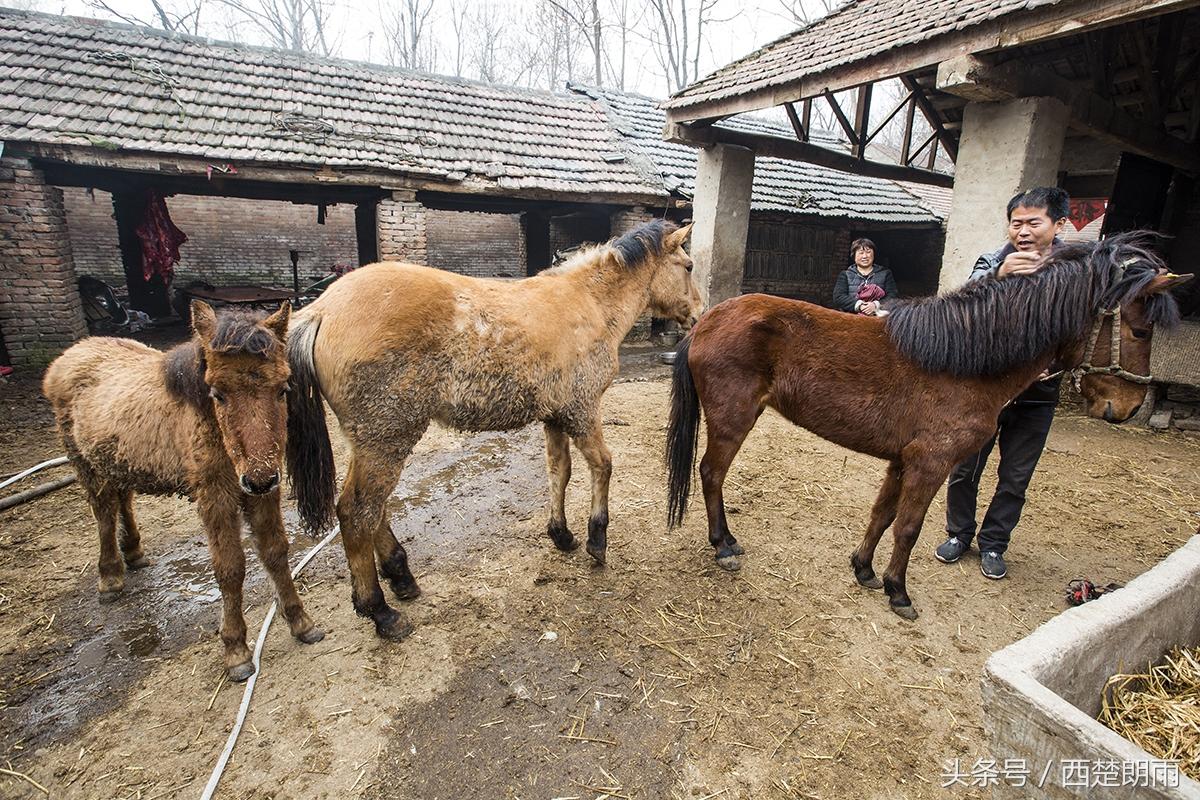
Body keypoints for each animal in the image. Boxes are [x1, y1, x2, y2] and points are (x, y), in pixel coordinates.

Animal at [43, 302, 324, 681]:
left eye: (282, 388)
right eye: (217, 393)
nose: (258, 478)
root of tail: (69, 356)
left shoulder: (264, 493)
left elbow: (276, 552)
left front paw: (300, 621)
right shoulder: (216, 496)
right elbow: (230, 568)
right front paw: (236, 650)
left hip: (117, 462)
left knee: (122, 501)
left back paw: (133, 552)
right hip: (86, 465)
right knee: (103, 514)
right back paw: (110, 577)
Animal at [289, 217, 700, 638]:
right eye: (688, 266)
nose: (699, 314)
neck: (588, 303)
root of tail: (319, 311)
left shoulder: (555, 416)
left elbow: (560, 472)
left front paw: (562, 535)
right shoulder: (582, 410)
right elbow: (602, 465)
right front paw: (596, 539)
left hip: (372, 440)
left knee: (375, 509)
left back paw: (401, 577)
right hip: (386, 437)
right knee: (358, 511)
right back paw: (379, 610)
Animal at [667, 235, 1190, 623]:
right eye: (1141, 330)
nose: (1126, 407)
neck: (965, 361)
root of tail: (706, 321)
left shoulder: (902, 462)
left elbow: (882, 516)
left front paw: (864, 570)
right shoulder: (931, 463)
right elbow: (909, 528)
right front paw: (899, 592)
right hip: (735, 419)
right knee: (711, 474)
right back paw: (724, 547)